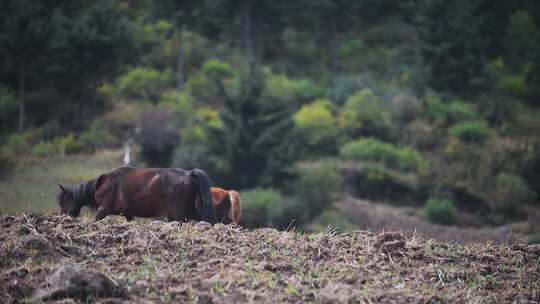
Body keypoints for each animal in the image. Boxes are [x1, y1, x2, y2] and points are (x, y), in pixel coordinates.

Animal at [58, 166, 218, 223]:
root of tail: (189, 173)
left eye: (62, 201)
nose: (62, 216)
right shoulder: (128, 214)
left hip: (179, 215)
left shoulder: (102, 210)